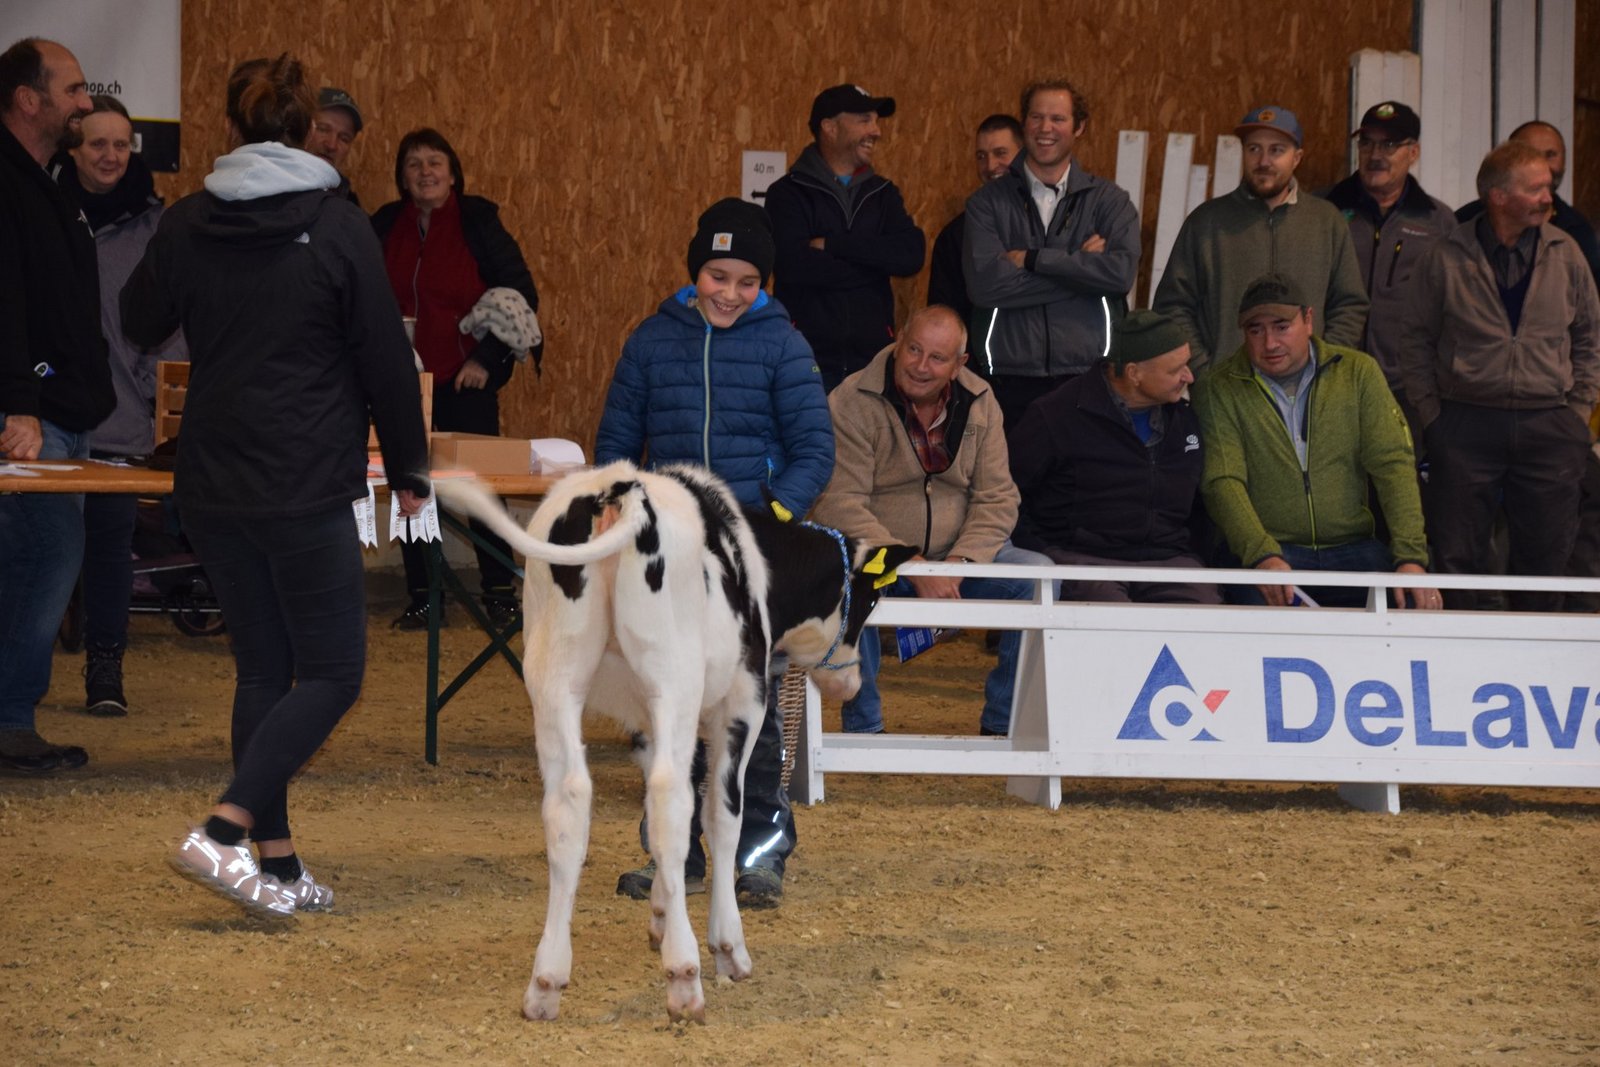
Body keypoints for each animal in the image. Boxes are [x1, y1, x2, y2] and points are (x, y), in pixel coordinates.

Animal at [434, 461, 914, 1023]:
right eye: (871, 599)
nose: (850, 682)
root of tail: (619, 488)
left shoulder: (644, 724)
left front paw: (662, 913)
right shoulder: (741, 704)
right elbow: (720, 817)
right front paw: (726, 946)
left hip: (553, 677)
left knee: (569, 801)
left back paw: (546, 982)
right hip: (674, 677)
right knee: (670, 799)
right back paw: (685, 975)